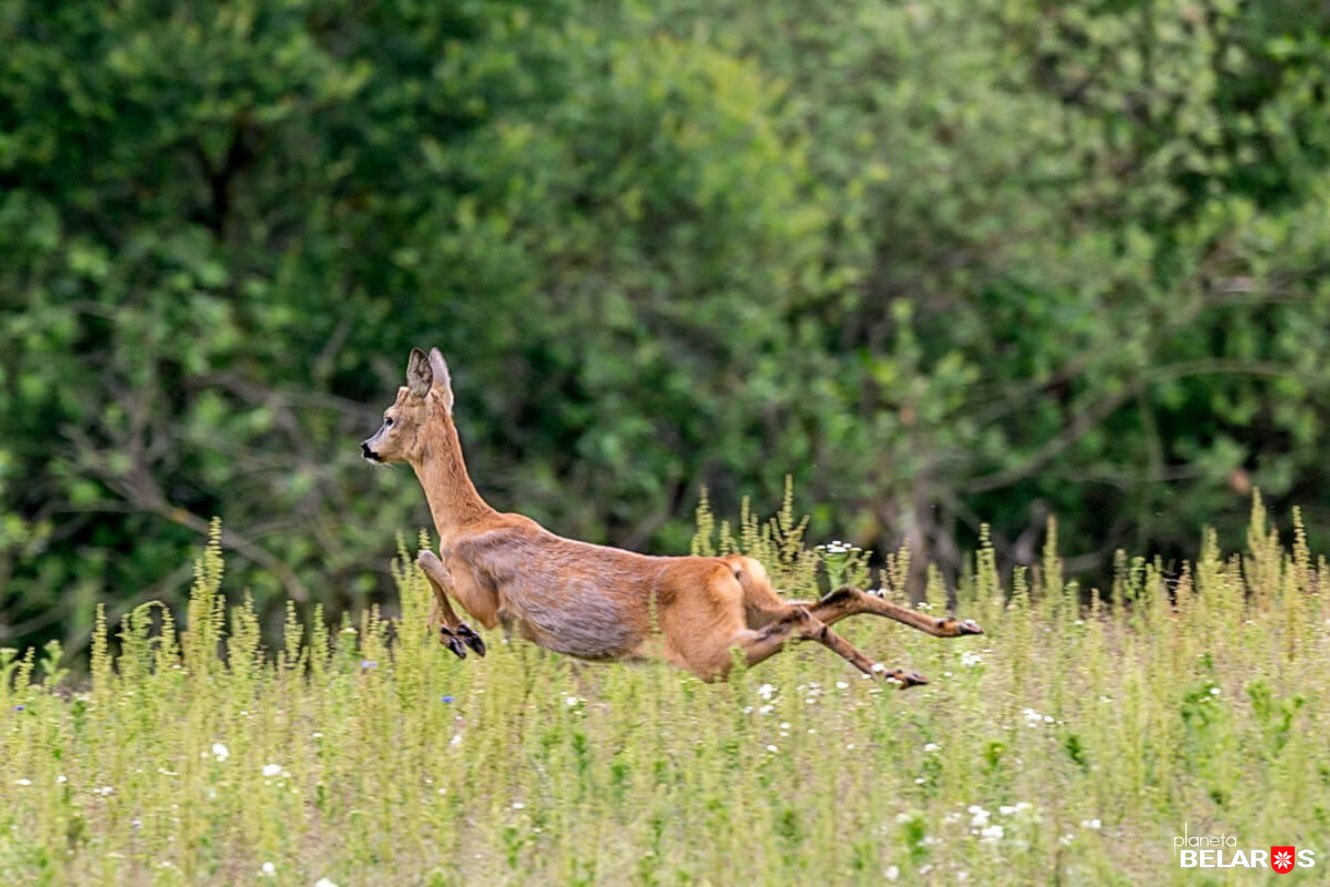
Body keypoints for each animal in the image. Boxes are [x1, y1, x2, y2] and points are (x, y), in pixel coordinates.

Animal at [359, 345, 984, 686]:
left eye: (388, 416)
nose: (366, 447)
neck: (468, 521)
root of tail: (729, 568)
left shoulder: (488, 598)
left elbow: (426, 558)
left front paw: (458, 636)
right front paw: (454, 635)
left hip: (711, 649)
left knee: (803, 621)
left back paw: (899, 672)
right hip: (754, 602)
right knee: (834, 599)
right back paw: (944, 638)